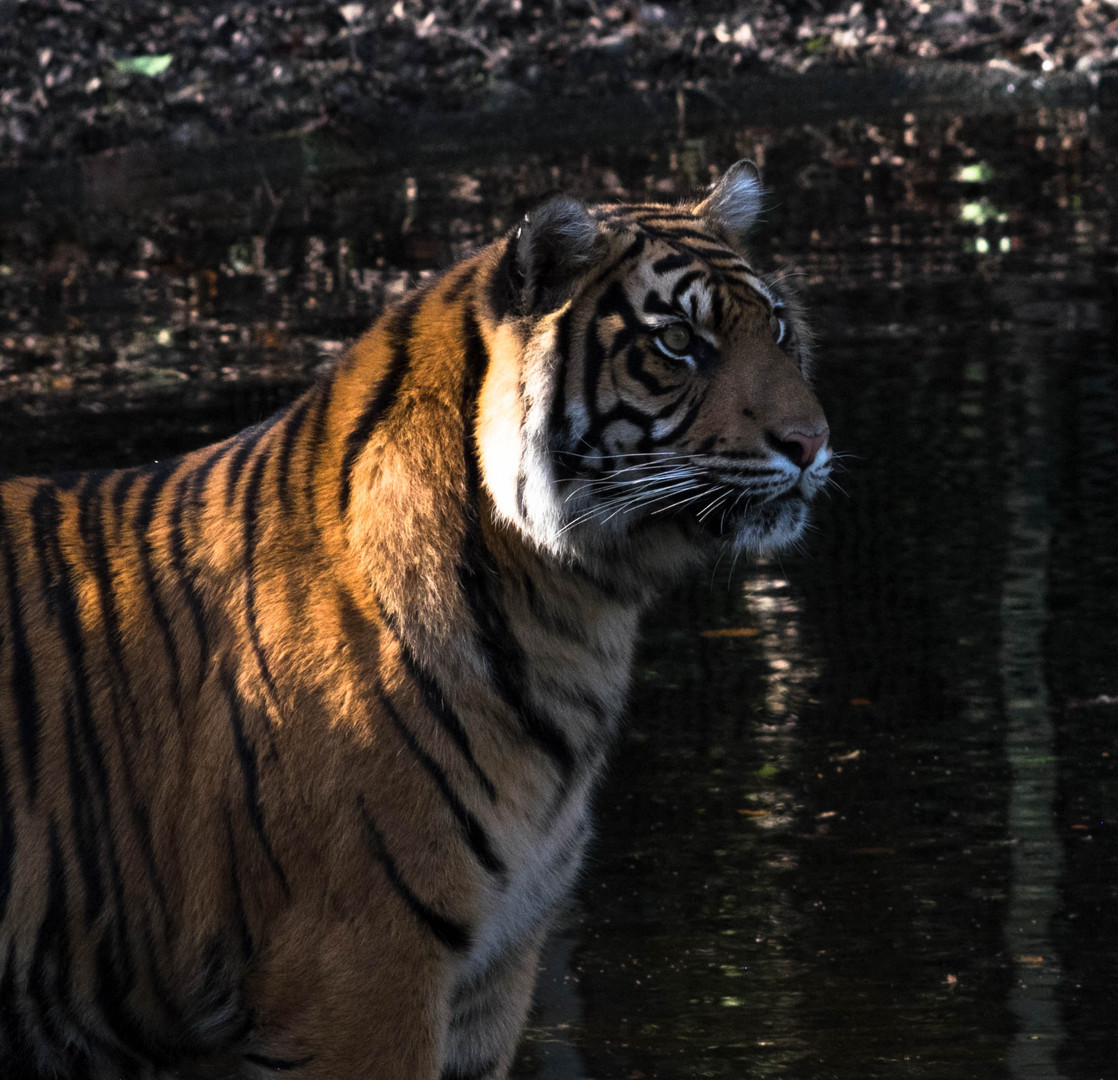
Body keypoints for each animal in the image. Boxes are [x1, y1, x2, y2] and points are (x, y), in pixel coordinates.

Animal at [0, 163, 831, 1080]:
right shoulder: (360, 974)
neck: (569, 609)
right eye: (679, 342)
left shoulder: (493, 972)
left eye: (778, 328)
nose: (813, 442)